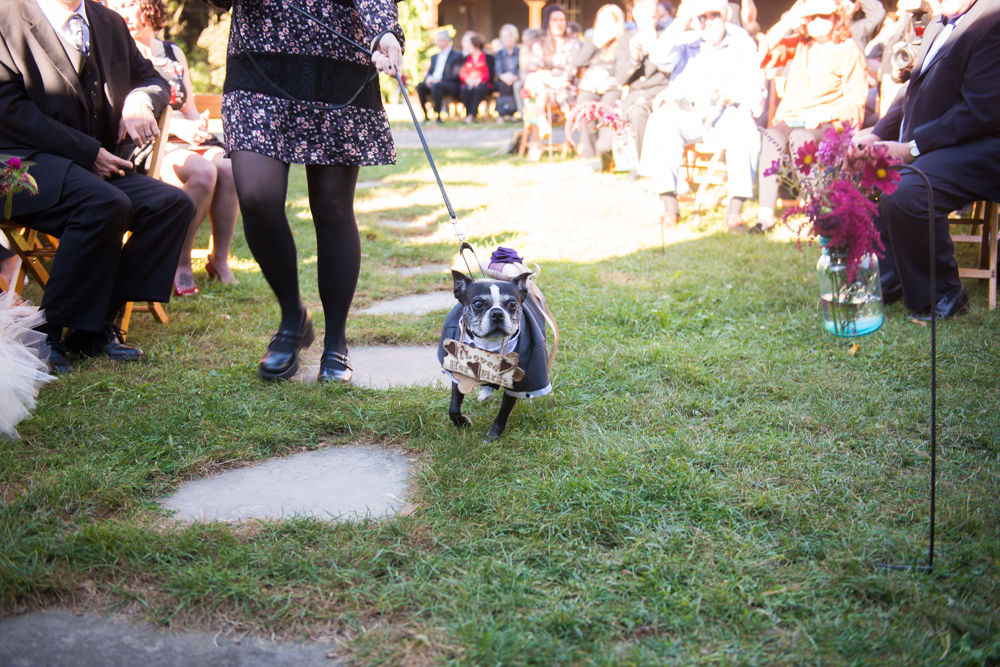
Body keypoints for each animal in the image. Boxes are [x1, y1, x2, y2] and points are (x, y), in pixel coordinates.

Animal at [440, 268, 556, 440]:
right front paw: (462, 423)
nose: (497, 313)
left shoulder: (517, 381)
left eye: (512, 303)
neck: (489, 345)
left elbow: (503, 413)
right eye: (478, 304)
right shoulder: (458, 372)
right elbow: (453, 407)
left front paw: (493, 437)